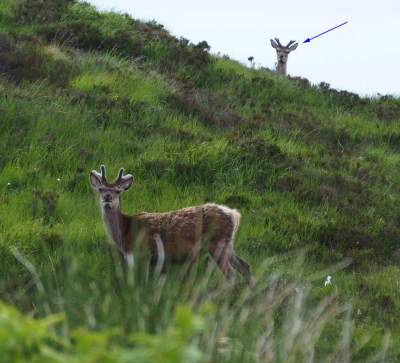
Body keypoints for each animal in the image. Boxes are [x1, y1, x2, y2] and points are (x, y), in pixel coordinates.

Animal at [90, 166, 250, 284]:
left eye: (118, 191)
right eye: (101, 189)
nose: (107, 197)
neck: (125, 231)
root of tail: (234, 214)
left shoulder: (142, 254)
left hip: (217, 243)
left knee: (231, 274)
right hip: (228, 244)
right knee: (245, 266)